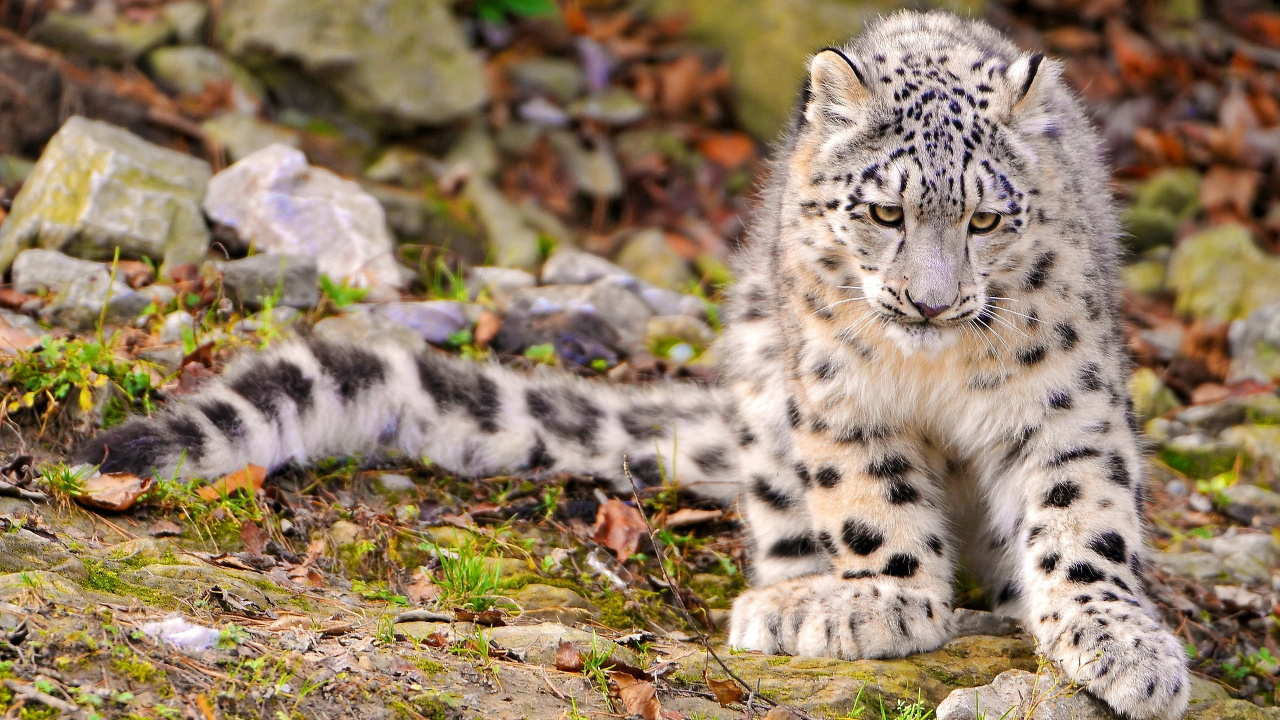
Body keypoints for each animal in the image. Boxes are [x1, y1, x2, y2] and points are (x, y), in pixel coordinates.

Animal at [77, 11, 1189, 719]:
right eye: (884, 212)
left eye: (987, 220)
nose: (931, 300)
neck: (931, 374)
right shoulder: (841, 397)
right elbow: (873, 504)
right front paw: (879, 599)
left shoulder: (1062, 400)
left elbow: (1081, 515)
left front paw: (1121, 645)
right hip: (763, 383)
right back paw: (788, 599)